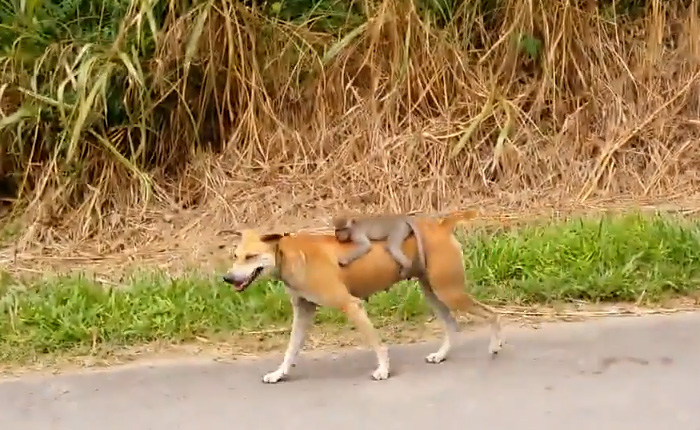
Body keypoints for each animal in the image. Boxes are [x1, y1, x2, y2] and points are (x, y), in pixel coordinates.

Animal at [221, 209, 500, 382]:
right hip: (434, 293)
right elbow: (291, 349)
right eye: (235, 256)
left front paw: (383, 370)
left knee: (492, 313)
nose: (228, 278)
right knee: (452, 325)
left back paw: (495, 346)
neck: (290, 255)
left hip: (450, 292)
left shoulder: (351, 305)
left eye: (251, 256)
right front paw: (280, 374)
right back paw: (442, 355)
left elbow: (377, 343)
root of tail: (441, 225)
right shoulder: (303, 313)